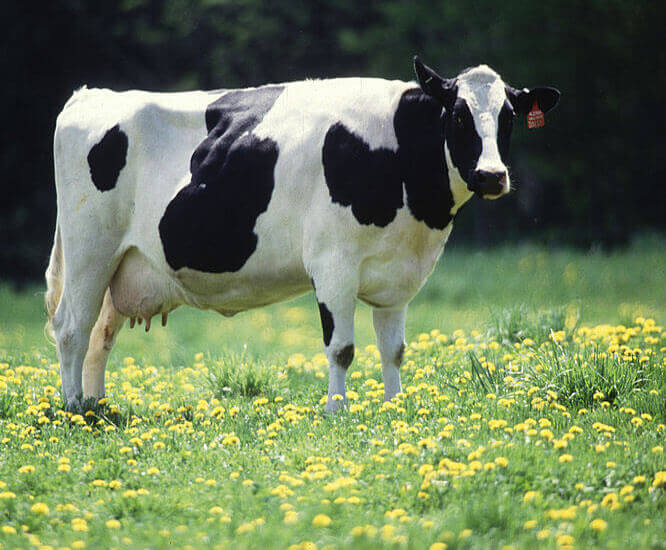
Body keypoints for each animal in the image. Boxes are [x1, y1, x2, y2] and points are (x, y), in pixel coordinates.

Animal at [45, 57, 560, 412]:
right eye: (458, 115)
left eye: (509, 117)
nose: (492, 176)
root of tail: (91, 95)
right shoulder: (333, 264)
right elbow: (342, 348)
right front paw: (337, 411)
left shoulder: (398, 276)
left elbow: (393, 350)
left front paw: (395, 408)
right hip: (90, 251)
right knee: (72, 328)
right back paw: (75, 411)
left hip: (122, 265)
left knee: (100, 336)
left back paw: (97, 405)